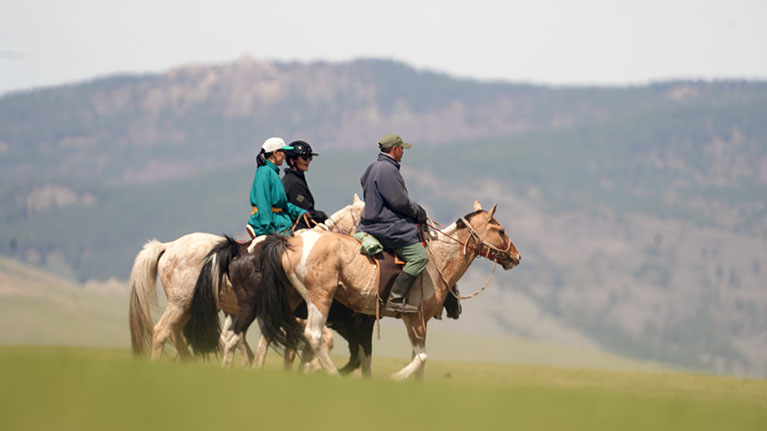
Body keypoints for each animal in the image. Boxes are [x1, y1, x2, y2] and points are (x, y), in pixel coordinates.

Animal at [256, 201, 520, 380]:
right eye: (501, 230)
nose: (517, 256)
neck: (437, 259)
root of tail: (291, 242)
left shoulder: (419, 322)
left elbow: (418, 360)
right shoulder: (413, 319)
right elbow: (421, 358)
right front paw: (393, 379)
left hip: (290, 298)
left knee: (269, 332)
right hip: (319, 298)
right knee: (313, 335)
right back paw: (330, 374)